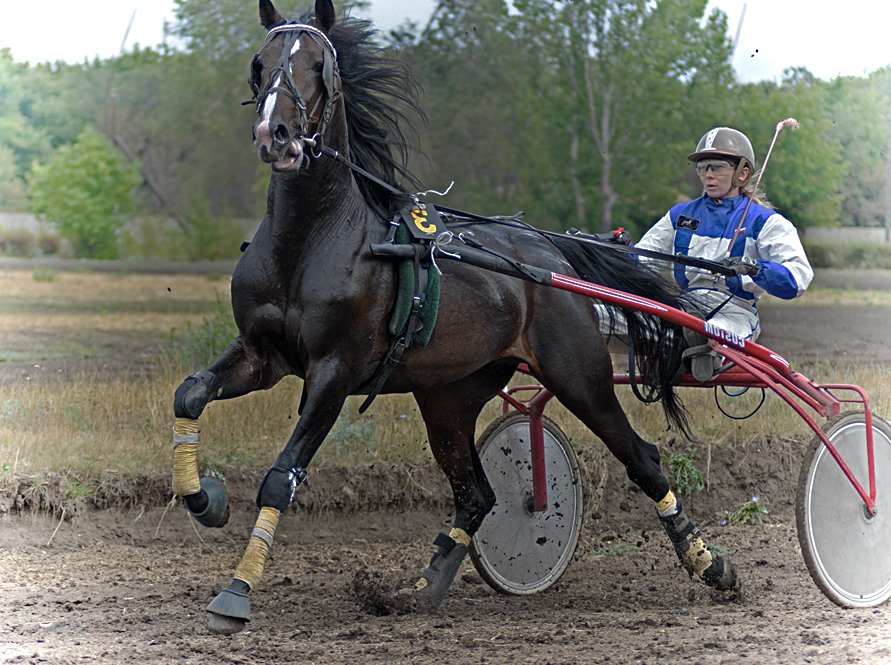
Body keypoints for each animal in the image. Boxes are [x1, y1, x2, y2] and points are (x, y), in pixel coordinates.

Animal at [169, 0, 740, 632]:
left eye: (320, 64)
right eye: (259, 63)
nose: (277, 135)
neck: (308, 241)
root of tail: (550, 255)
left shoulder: (333, 373)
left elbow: (281, 477)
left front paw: (236, 591)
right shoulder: (261, 355)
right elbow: (189, 394)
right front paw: (206, 501)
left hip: (579, 375)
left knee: (642, 459)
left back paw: (709, 564)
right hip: (449, 394)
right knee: (477, 495)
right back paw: (423, 587)